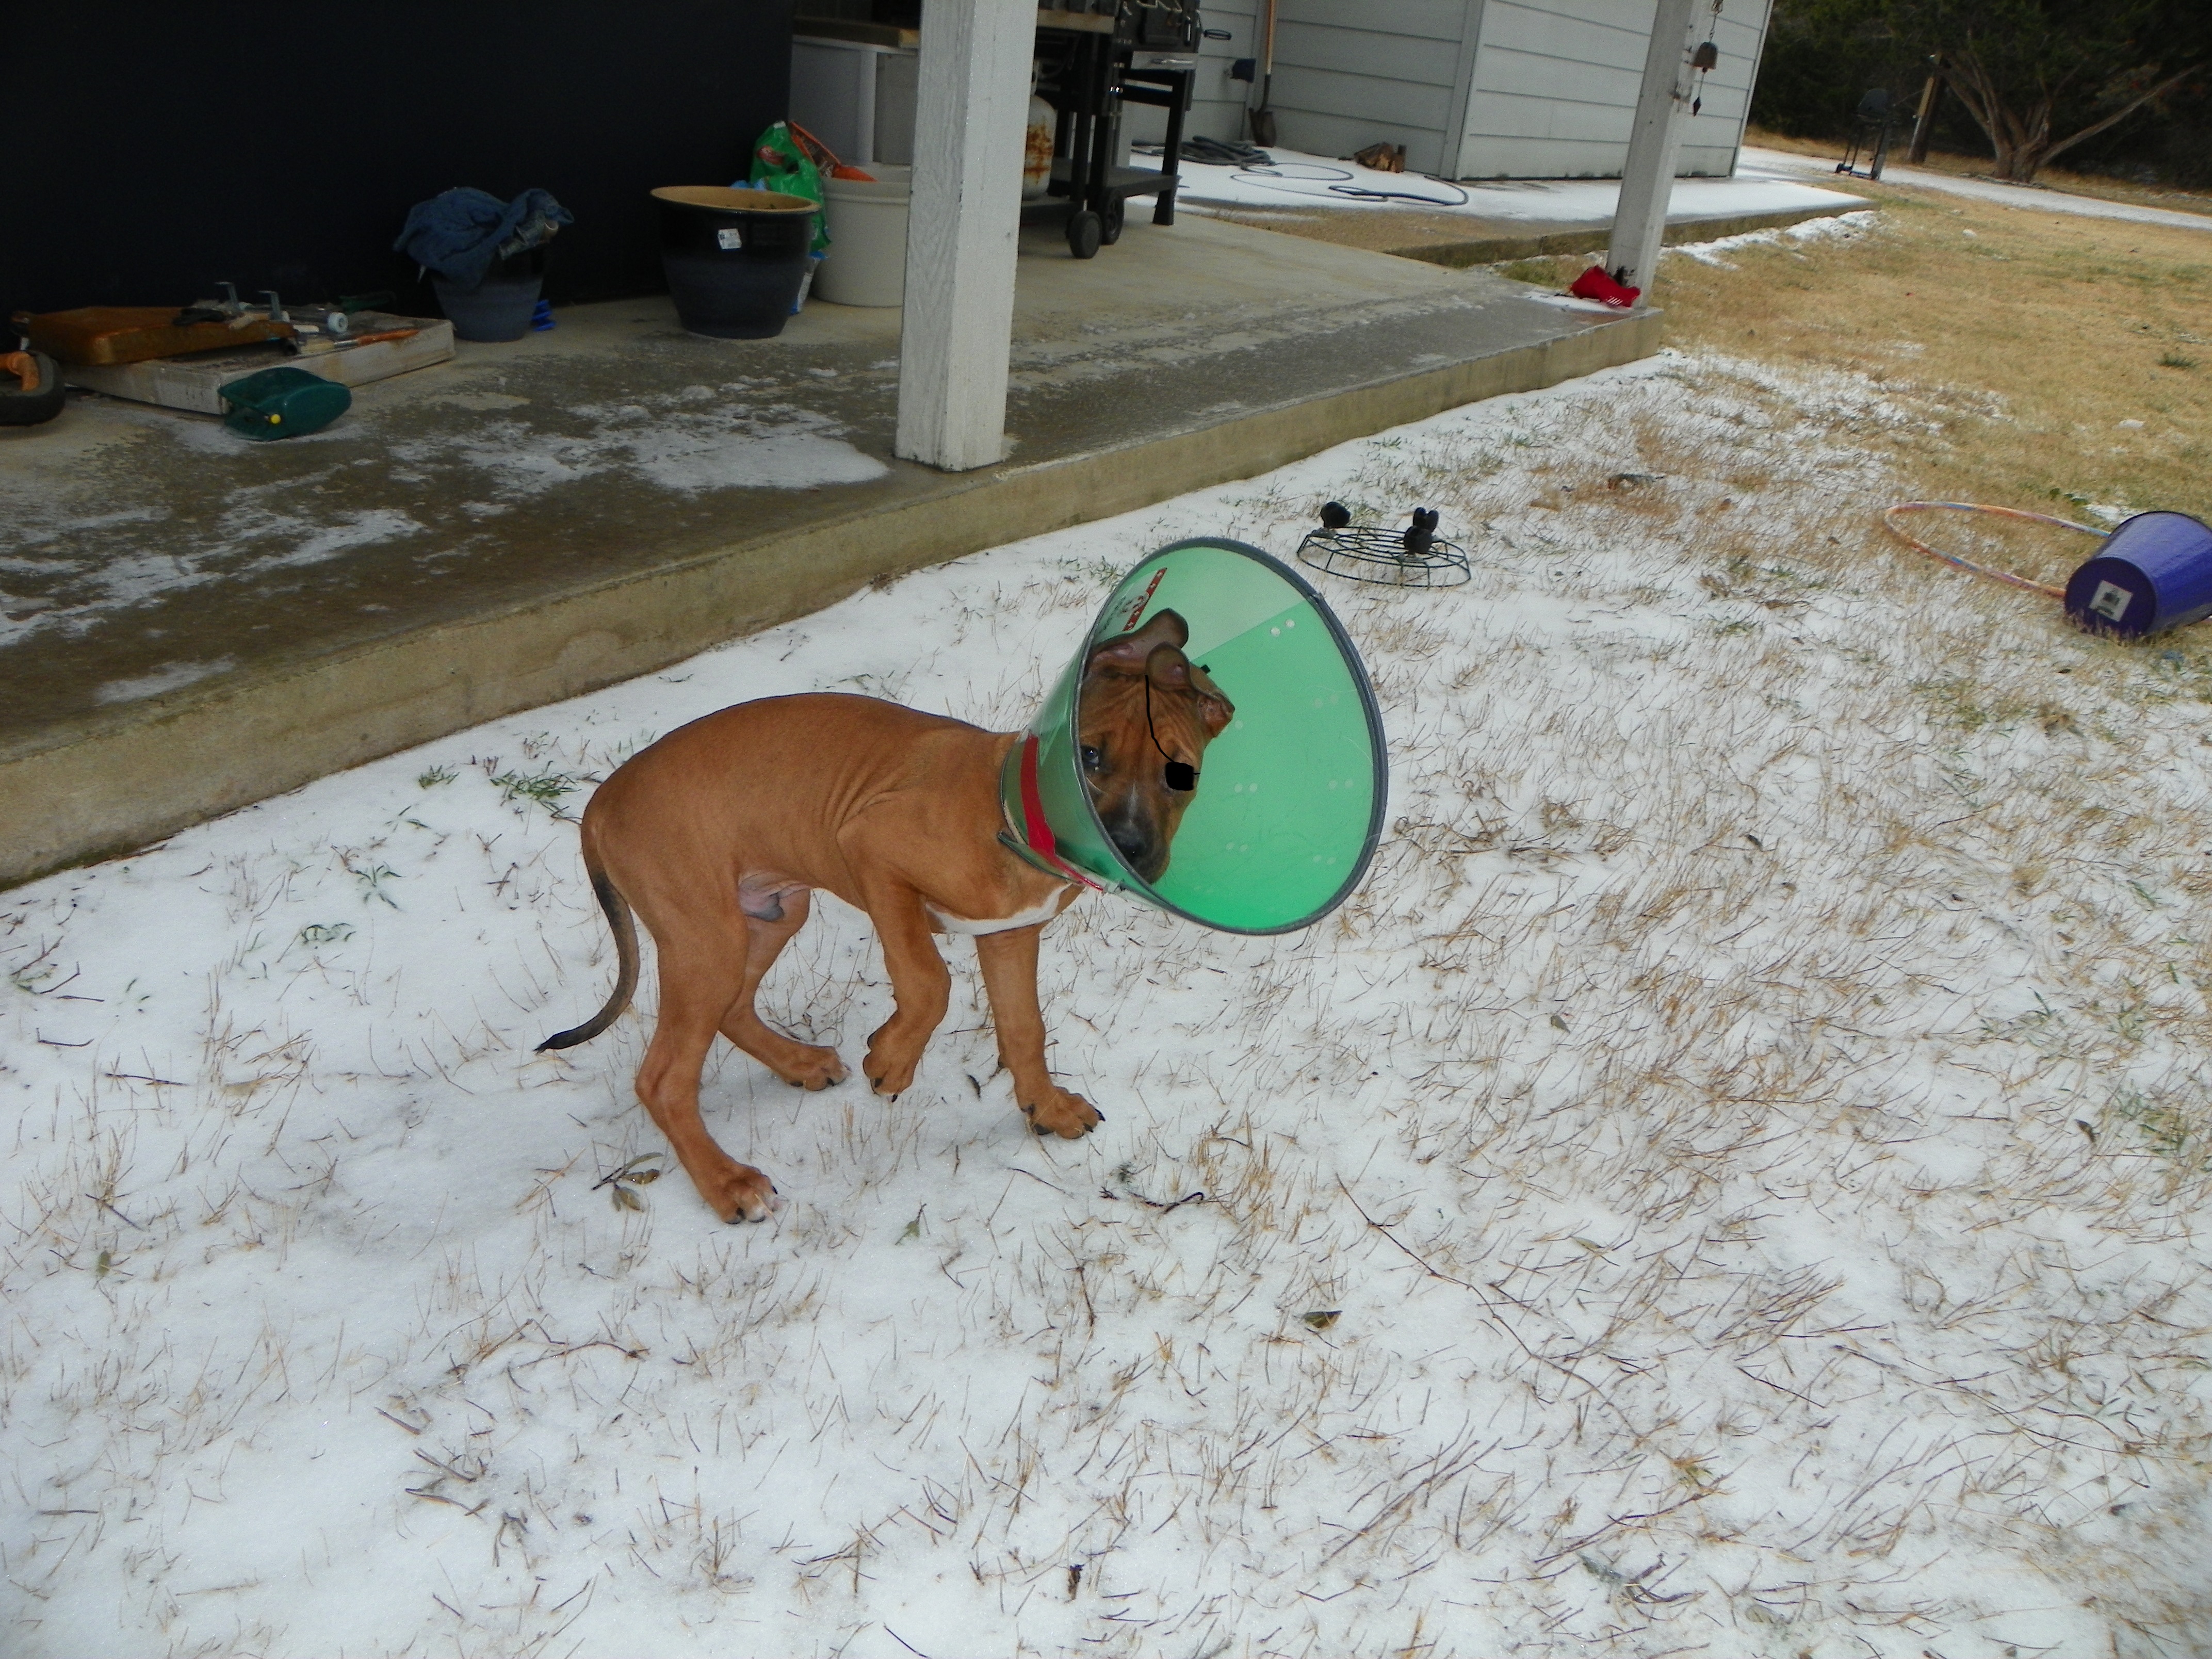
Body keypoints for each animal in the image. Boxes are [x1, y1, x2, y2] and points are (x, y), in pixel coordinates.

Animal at [538, 608, 1234, 1222]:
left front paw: (1046, 1108)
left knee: (732, 1007)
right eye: (1088, 756)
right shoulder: (873, 852)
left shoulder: (1009, 937)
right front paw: (892, 1061)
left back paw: (799, 1065)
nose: (1131, 850)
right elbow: (929, 981)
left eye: (1181, 774)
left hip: (770, 912)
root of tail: (601, 800)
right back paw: (728, 1183)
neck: (1004, 812)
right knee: (662, 1078)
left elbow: (1024, 1029)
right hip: (707, 937)